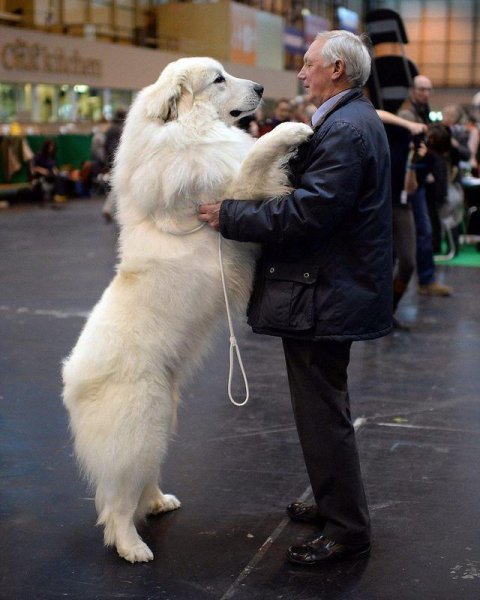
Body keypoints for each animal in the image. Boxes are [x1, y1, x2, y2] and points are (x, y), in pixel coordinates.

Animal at [62, 56, 314, 564]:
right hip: (139, 428)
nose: (262, 88)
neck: (185, 133)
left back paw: (159, 503)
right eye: (218, 79)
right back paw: (132, 547)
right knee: (116, 503)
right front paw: (294, 129)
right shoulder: (230, 192)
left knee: (140, 482)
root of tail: (70, 380)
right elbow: (255, 155)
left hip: (161, 420)